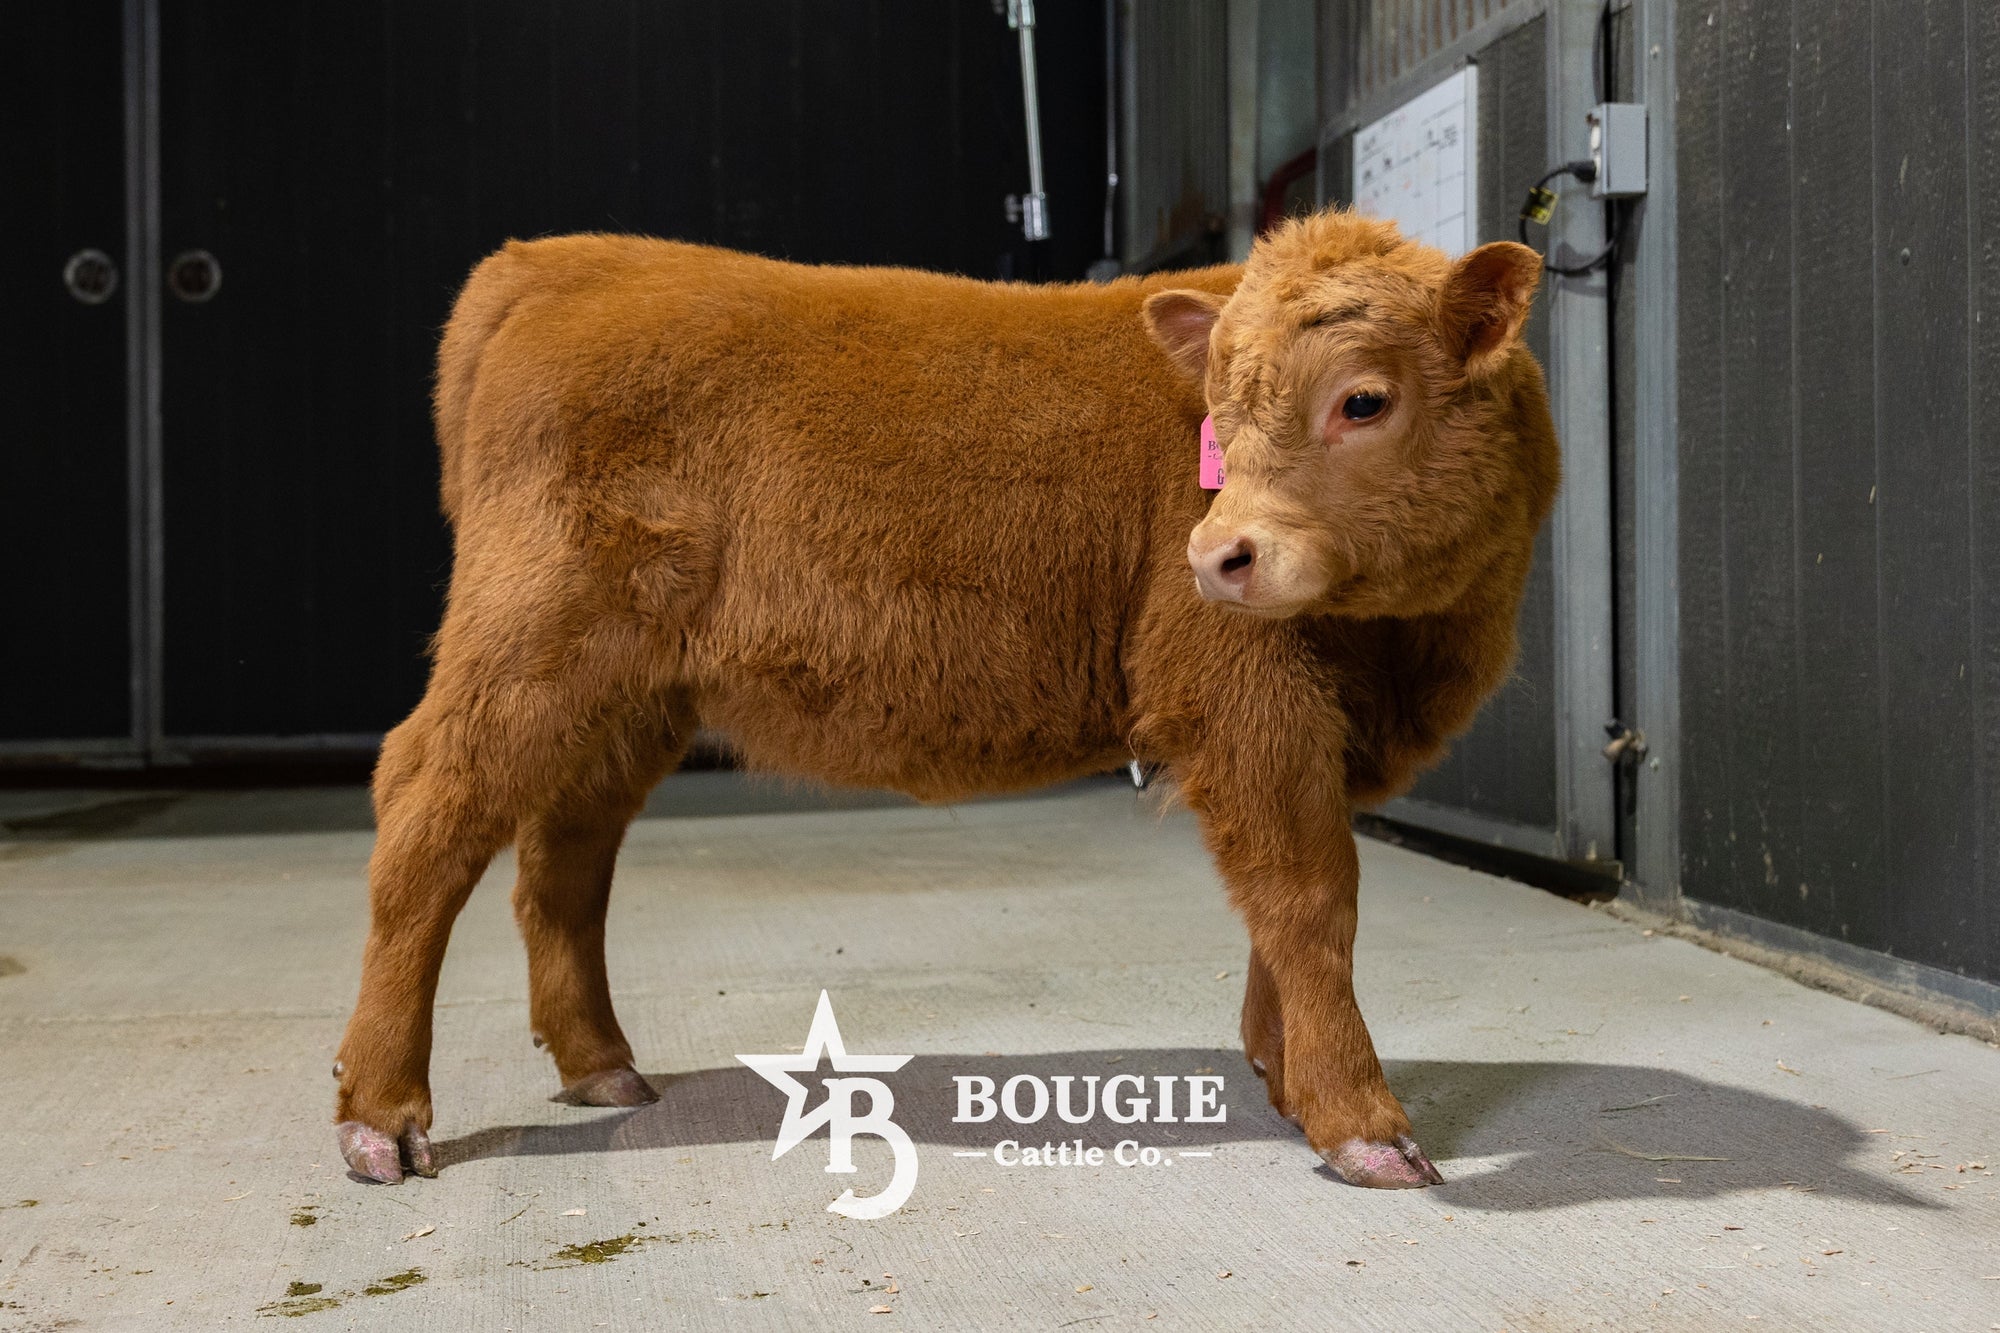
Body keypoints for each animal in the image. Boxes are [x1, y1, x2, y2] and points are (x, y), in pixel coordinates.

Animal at [331, 209, 1558, 1191]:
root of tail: (556, 259)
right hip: (527, 643)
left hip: (625, 692)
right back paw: (380, 1116)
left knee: (564, 857)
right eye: (1219, 407)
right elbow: (1310, 895)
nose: (1219, 555)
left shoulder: (1317, 726)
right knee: (428, 814)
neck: (1405, 645)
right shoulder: (1243, 694)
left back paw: (600, 1066)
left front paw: (1280, 1071)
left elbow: (1278, 897)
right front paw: (1361, 1122)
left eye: (1365, 398)